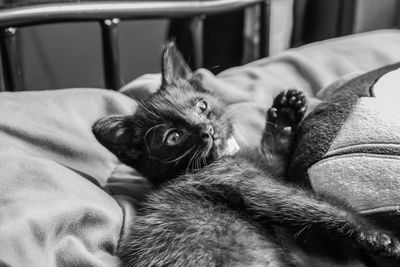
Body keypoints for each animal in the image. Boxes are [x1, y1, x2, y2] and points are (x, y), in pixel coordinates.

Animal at [92, 43, 400, 266]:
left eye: (201, 106)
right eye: (174, 137)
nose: (205, 130)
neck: (220, 158)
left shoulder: (266, 167)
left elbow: (275, 154)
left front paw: (285, 115)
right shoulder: (251, 185)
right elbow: (317, 207)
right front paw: (380, 236)